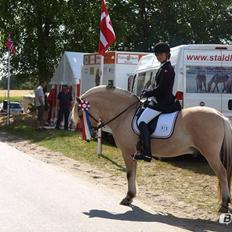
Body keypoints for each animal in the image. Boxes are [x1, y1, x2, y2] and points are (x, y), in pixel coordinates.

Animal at [72, 86, 232, 213]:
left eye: (81, 113)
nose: (89, 136)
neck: (125, 115)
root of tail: (220, 116)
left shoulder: (127, 152)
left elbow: (129, 174)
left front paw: (128, 197)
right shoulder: (133, 153)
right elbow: (133, 174)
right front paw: (131, 196)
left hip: (211, 154)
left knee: (222, 174)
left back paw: (224, 205)